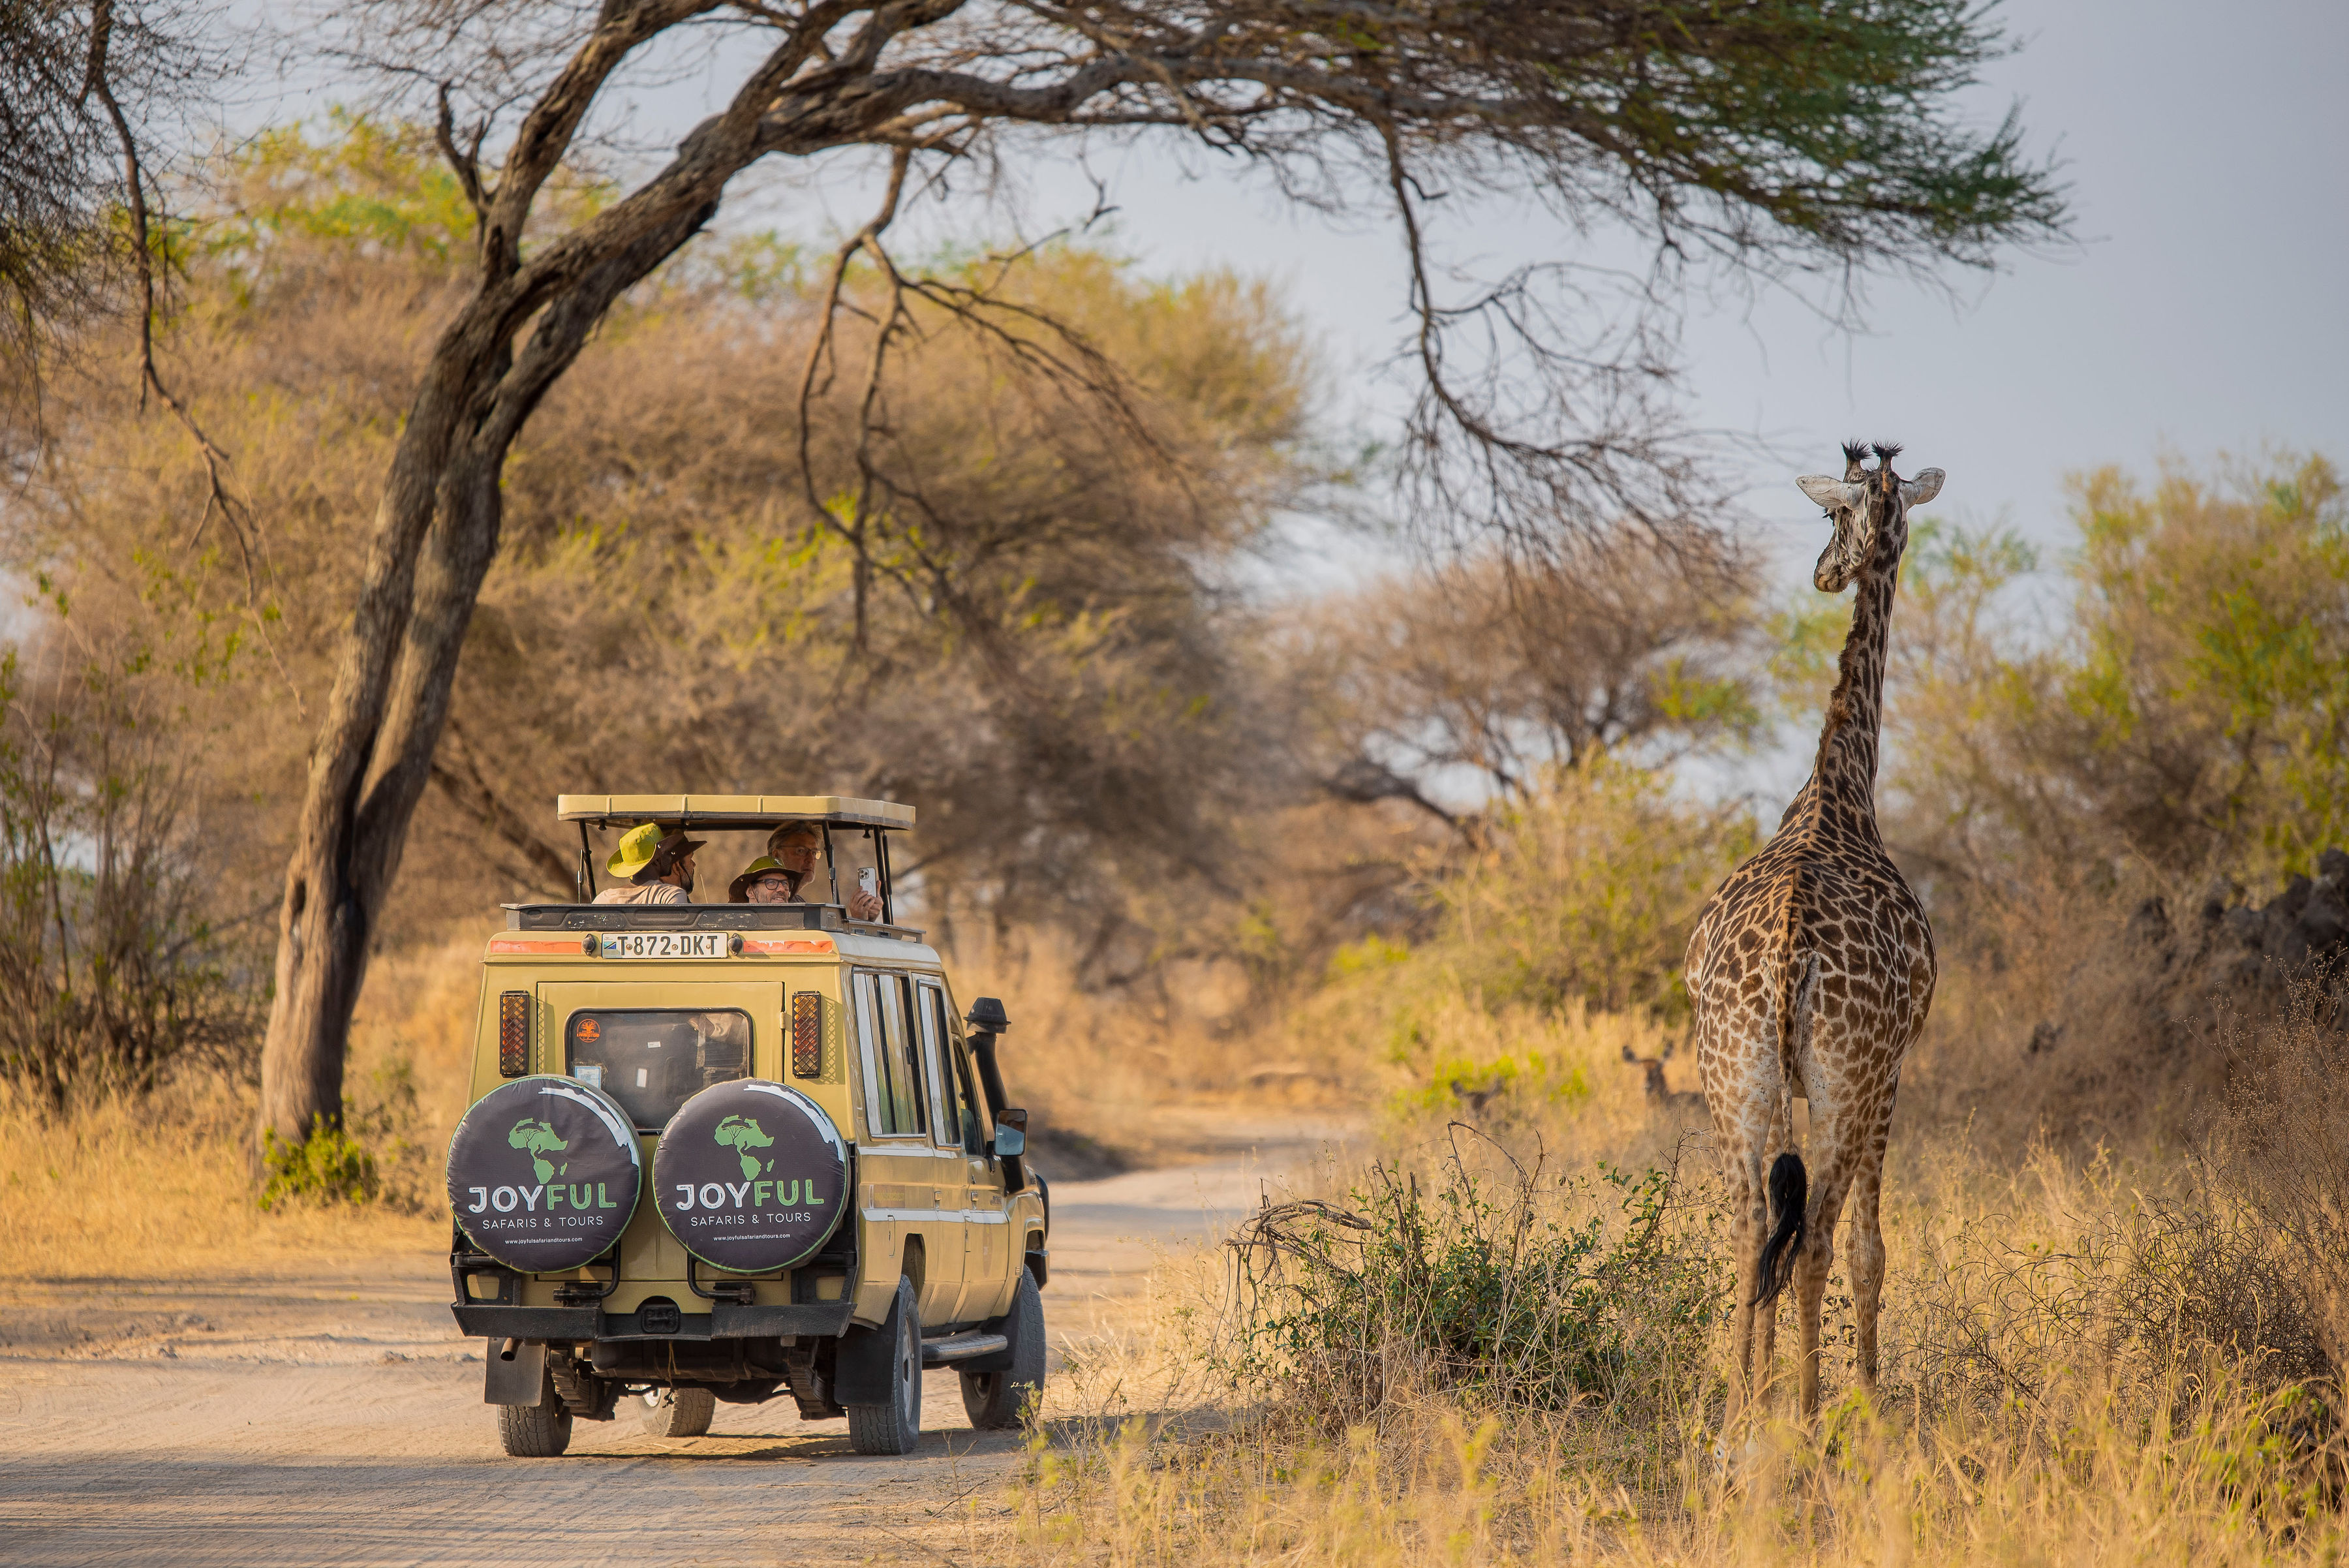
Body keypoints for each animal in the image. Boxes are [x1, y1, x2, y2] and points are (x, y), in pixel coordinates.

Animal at [1686, 440, 1943, 1423]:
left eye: (1831, 515)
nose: (1826, 572)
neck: (1840, 788)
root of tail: (1791, 948)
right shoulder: (1892, 1068)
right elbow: (1871, 1247)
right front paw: (1869, 1394)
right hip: (1843, 1078)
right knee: (1823, 1238)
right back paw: (1807, 1408)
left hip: (1731, 1075)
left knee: (1749, 1227)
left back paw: (1742, 1402)